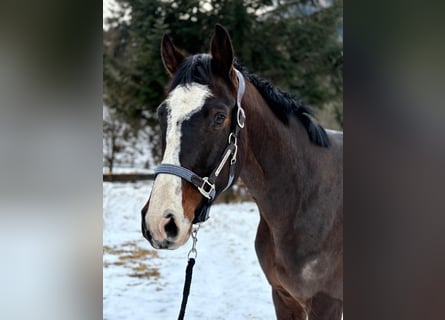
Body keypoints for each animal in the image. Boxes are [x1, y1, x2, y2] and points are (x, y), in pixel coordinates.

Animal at [140, 23, 342, 318]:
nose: (160, 221)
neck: (304, 199)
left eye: (219, 117)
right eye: (161, 114)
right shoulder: (284, 297)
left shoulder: (325, 303)